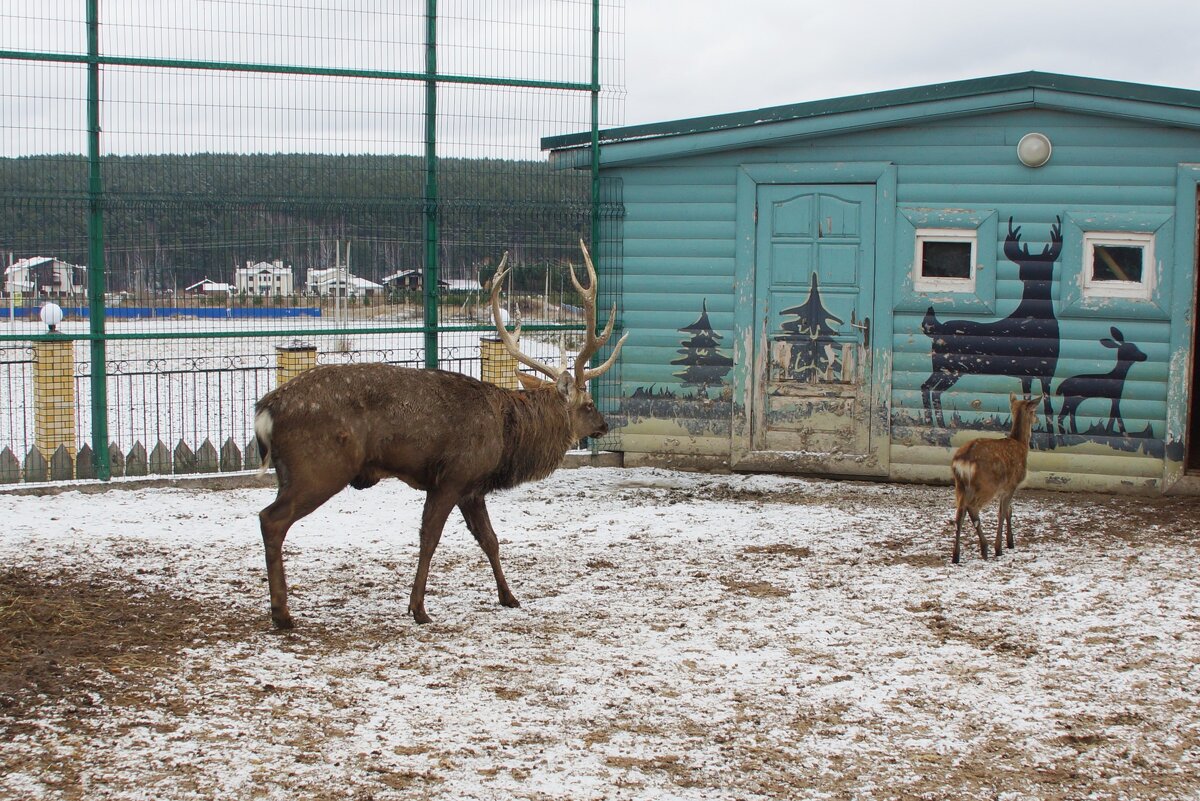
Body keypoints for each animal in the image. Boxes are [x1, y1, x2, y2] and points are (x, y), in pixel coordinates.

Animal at [253, 241, 628, 628]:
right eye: (588, 403)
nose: (604, 425)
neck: (508, 438)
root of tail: (265, 411)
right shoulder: (452, 477)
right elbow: (430, 539)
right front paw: (418, 608)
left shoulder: (473, 489)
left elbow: (490, 540)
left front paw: (509, 597)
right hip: (319, 468)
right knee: (271, 519)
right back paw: (282, 613)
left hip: (290, 473)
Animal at [945, 393, 1041, 563]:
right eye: (1034, 411)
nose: (1038, 419)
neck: (1022, 445)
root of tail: (964, 460)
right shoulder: (1012, 484)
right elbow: (1002, 513)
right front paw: (1000, 548)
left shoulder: (1005, 489)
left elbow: (1009, 510)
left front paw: (1010, 543)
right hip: (986, 484)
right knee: (972, 507)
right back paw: (985, 548)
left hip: (959, 484)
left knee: (959, 513)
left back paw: (956, 556)